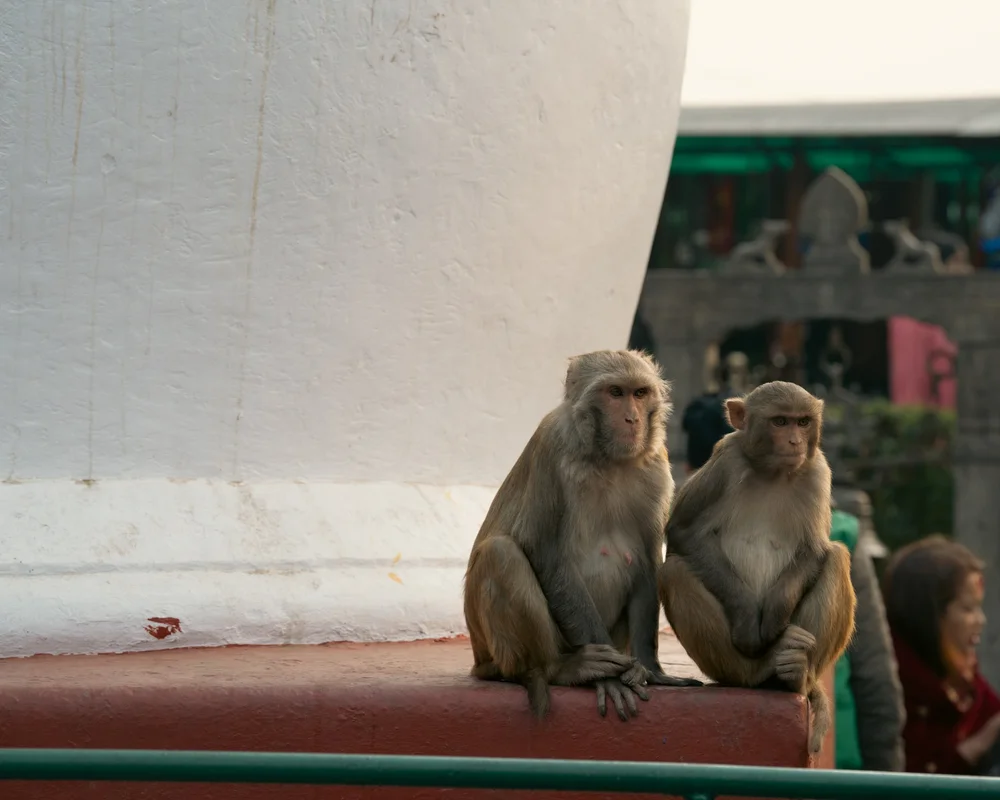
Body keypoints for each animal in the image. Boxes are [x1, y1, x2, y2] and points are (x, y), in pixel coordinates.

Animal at [464, 349, 702, 722]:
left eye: (639, 393)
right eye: (615, 393)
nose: (632, 419)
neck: (605, 457)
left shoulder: (658, 465)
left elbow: (649, 561)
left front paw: (651, 670)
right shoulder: (549, 446)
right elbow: (546, 554)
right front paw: (610, 679)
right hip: (493, 651)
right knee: (500, 553)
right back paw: (560, 667)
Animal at [659, 381, 856, 754]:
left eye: (803, 422)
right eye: (780, 422)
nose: (794, 442)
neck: (772, 474)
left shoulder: (817, 471)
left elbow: (815, 549)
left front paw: (775, 615)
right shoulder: (726, 461)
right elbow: (683, 532)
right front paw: (750, 623)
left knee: (837, 557)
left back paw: (794, 674)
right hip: (726, 665)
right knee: (674, 571)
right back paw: (759, 669)